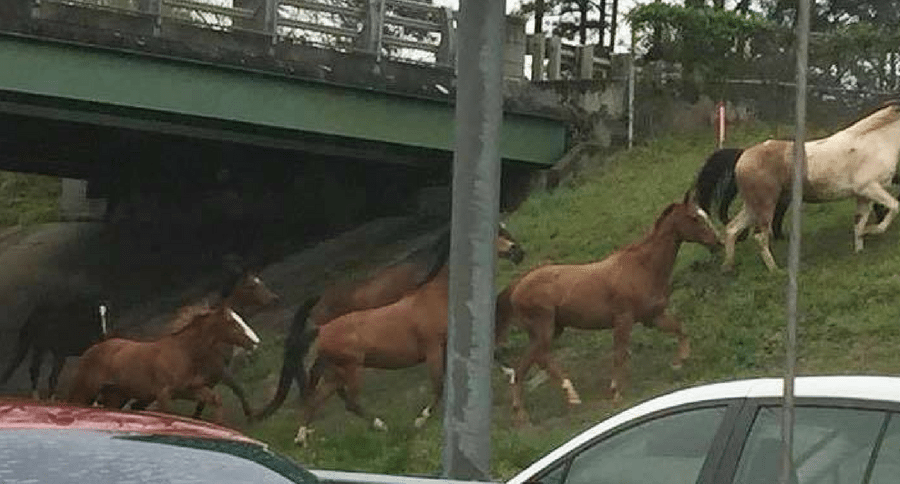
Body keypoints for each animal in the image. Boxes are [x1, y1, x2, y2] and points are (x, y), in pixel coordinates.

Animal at [67, 303, 262, 423]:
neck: (184, 351)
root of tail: (91, 350)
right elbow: (168, 414)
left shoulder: (187, 390)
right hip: (86, 391)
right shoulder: (163, 394)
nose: (255, 341)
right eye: (233, 322)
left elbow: (216, 399)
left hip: (116, 396)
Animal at [253, 223, 523, 421]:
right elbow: (439, 384)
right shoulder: (434, 348)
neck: (437, 293)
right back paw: (377, 423)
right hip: (349, 368)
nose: (518, 252)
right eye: (496, 232)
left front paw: (510, 373)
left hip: (337, 369)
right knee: (340, 394)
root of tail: (320, 327)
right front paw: (422, 417)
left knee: (324, 391)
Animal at [495, 193, 720, 425]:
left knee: (523, 366)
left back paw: (522, 413)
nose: (718, 243)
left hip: (551, 330)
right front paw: (616, 393)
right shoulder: (623, 319)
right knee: (539, 359)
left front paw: (679, 362)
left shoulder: (653, 316)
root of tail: (516, 286)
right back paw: (570, 396)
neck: (643, 267)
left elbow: (680, 328)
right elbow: (619, 354)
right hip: (544, 328)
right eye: (694, 218)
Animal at [694, 99, 900, 271]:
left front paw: (860, 249)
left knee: (732, 229)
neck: (875, 142)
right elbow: (894, 207)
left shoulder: (863, 196)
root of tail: (743, 156)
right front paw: (872, 231)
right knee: (760, 237)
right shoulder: (870, 188)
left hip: (752, 206)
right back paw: (775, 270)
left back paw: (727, 267)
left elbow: (858, 224)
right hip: (766, 205)